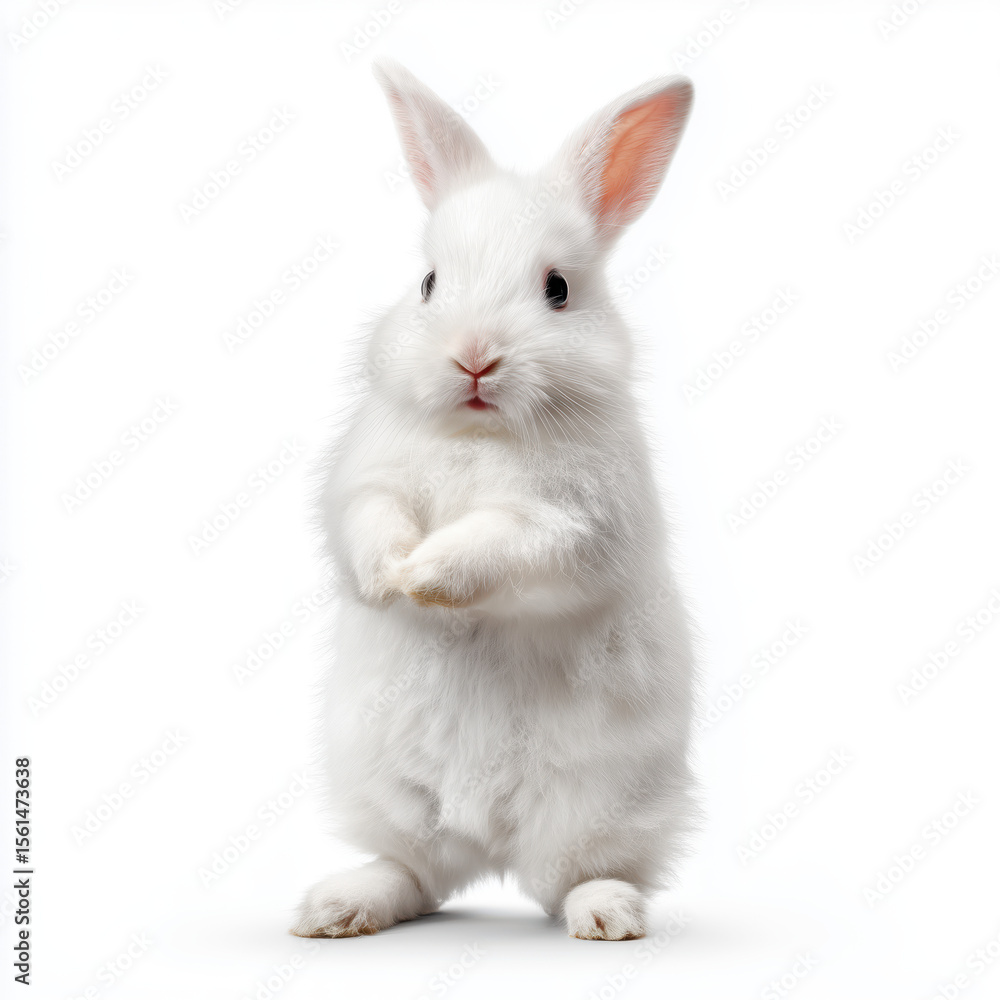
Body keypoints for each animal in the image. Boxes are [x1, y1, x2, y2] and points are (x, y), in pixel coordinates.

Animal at [291, 59, 698, 942]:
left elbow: (496, 544)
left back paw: (608, 917)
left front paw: (424, 576)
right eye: (428, 283)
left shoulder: (571, 523)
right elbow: (367, 521)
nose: (473, 357)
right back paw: (335, 907)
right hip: (390, 794)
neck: (481, 432)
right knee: (413, 874)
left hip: (600, 806)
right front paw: (388, 576)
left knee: (578, 875)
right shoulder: (366, 483)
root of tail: (490, 844)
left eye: (558, 289)